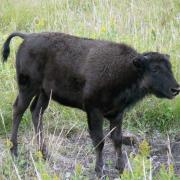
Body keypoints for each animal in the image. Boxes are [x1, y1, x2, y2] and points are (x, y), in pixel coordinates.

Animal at [1, 31, 180, 176]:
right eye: (154, 69)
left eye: (170, 67)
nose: (175, 89)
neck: (127, 70)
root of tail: (27, 37)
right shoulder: (94, 111)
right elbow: (99, 141)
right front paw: (99, 170)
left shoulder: (117, 114)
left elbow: (117, 139)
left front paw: (121, 168)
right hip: (28, 87)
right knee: (18, 110)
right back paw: (14, 152)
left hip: (44, 93)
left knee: (36, 112)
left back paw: (44, 154)